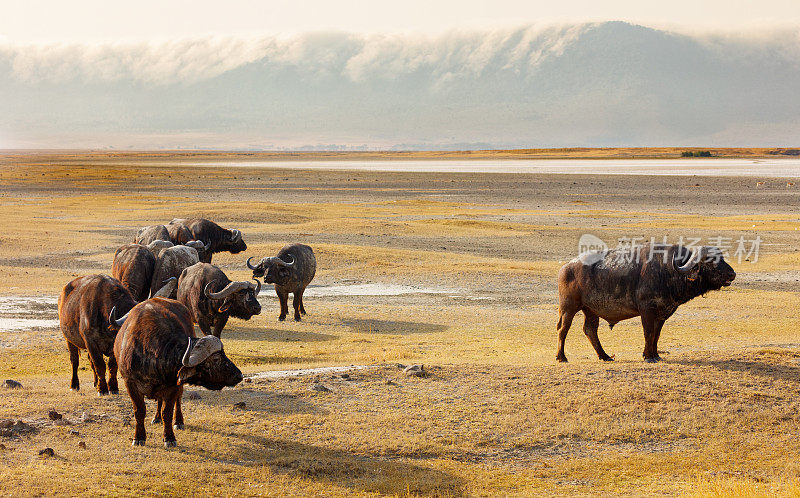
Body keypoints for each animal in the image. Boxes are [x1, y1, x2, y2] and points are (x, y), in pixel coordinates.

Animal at [114, 296, 242, 448]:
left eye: (223, 354)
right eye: (216, 358)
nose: (239, 375)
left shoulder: (173, 385)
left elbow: (168, 412)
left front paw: (169, 438)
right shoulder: (130, 383)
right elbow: (139, 411)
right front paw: (139, 437)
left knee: (178, 401)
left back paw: (178, 422)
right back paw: (156, 418)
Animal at [556, 244, 736, 362]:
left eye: (722, 258)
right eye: (711, 260)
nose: (732, 274)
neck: (669, 272)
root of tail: (566, 268)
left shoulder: (662, 313)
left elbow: (656, 335)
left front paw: (655, 354)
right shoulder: (646, 311)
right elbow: (648, 333)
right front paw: (648, 357)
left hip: (591, 310)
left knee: (590, 330)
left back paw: (605, 356)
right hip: (568, 307)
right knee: (563, 329)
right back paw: (561, 357)